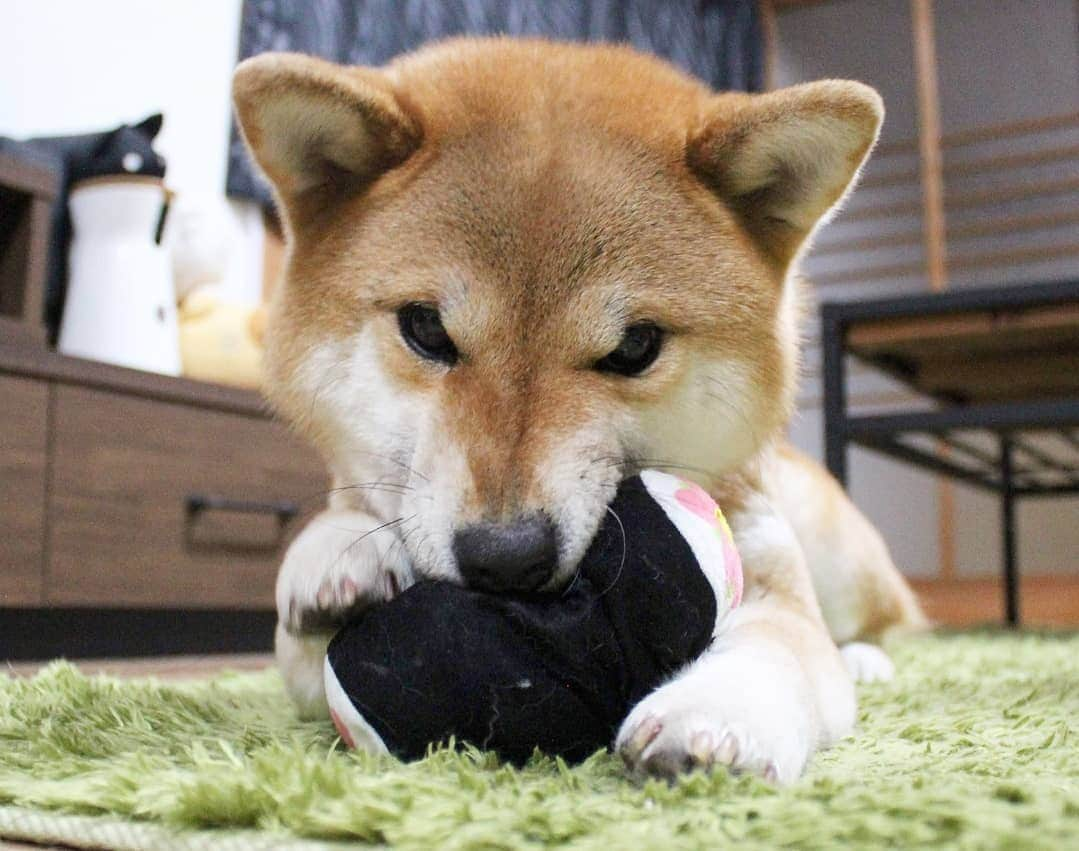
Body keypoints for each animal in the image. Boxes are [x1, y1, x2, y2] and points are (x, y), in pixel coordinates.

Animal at [231, 38, 923, 785]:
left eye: (635, 346)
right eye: (425, 328)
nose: (505, 558)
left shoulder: (772, 570)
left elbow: (781, 650)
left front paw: (714, 715)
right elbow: (315, 608)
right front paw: (335, 549)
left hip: (836, 552)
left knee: (888, 622)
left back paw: (868, 658)